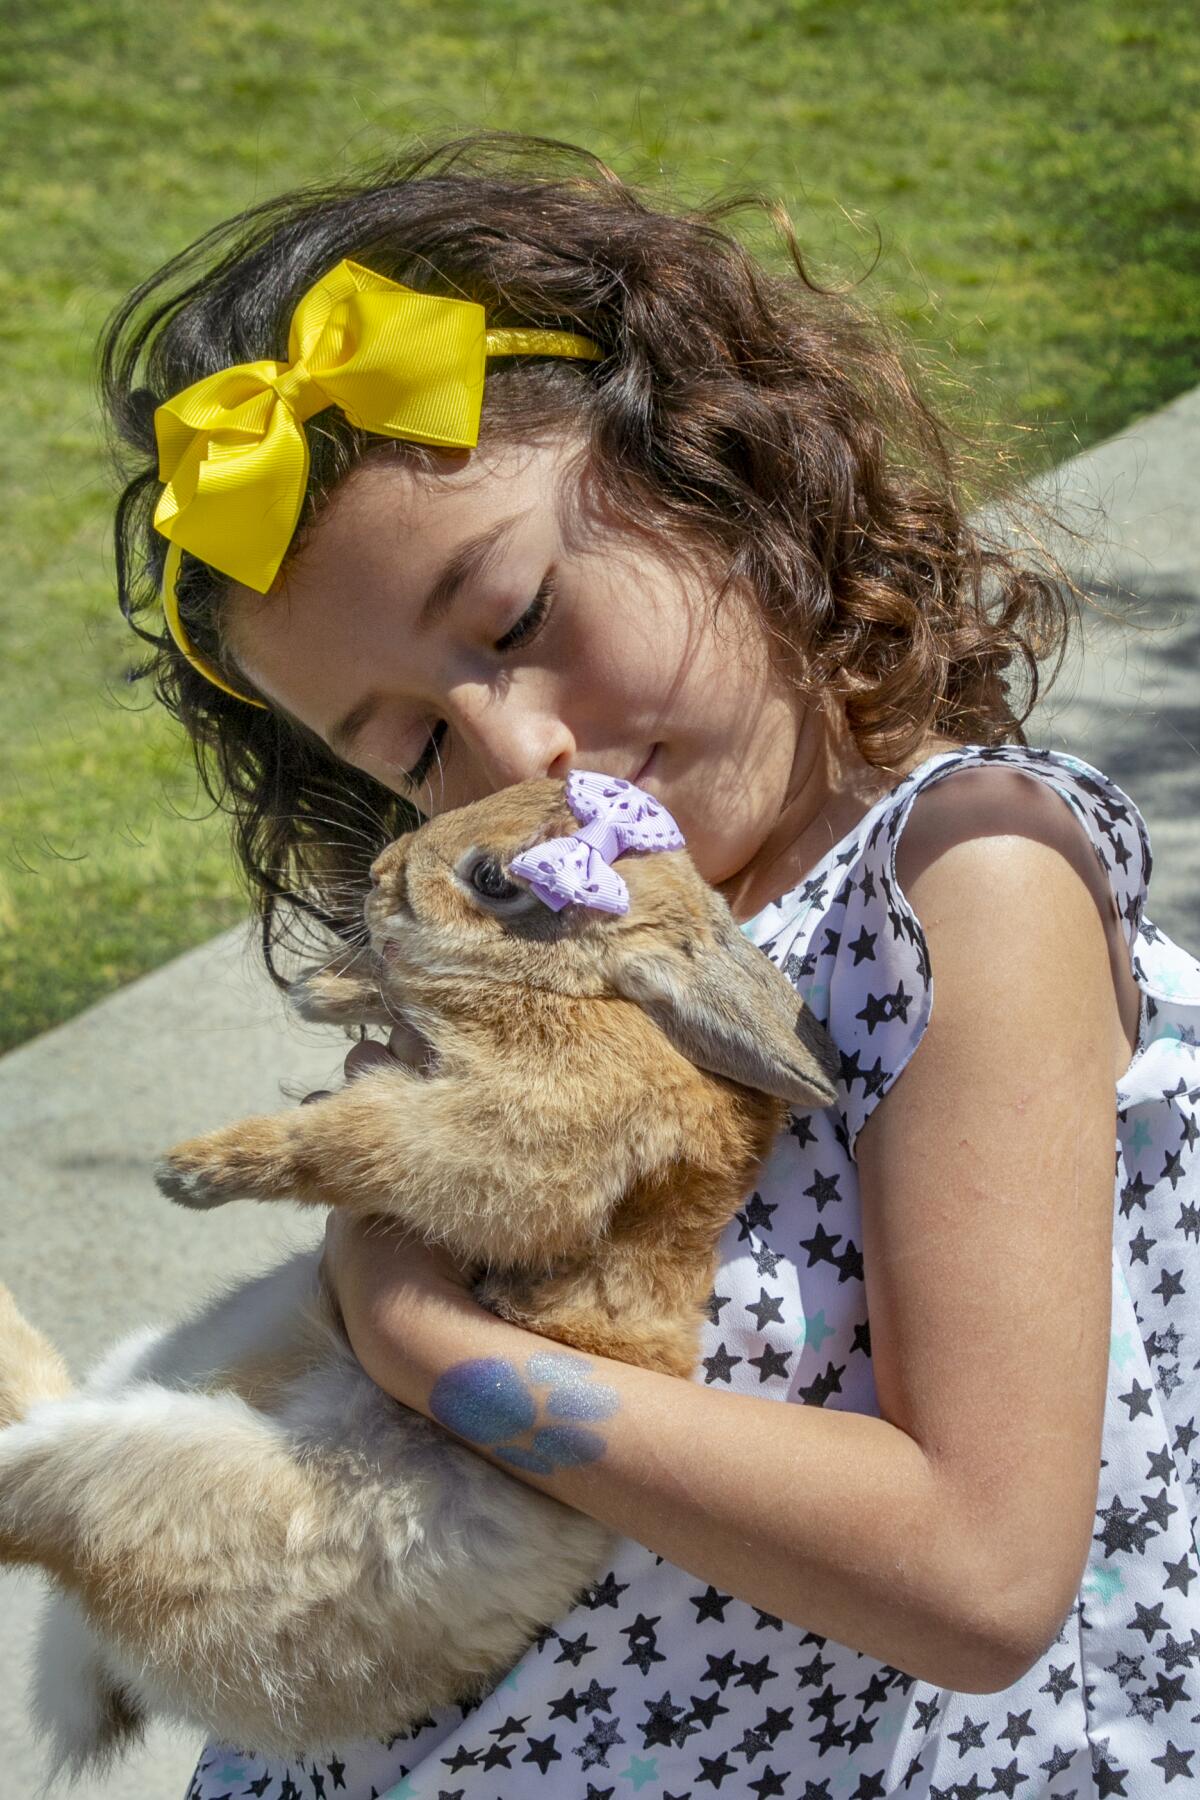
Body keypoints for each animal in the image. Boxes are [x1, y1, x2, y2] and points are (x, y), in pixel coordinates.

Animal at [0, 774, 841, 1771]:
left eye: (494, 878)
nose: (380, 872)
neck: (589, 991)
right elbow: (388, 1002)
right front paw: (324, 988)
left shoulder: (511, 1130)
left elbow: (355, 1137)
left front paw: (195, 1170)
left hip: (141, 1471)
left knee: (28, 1477)